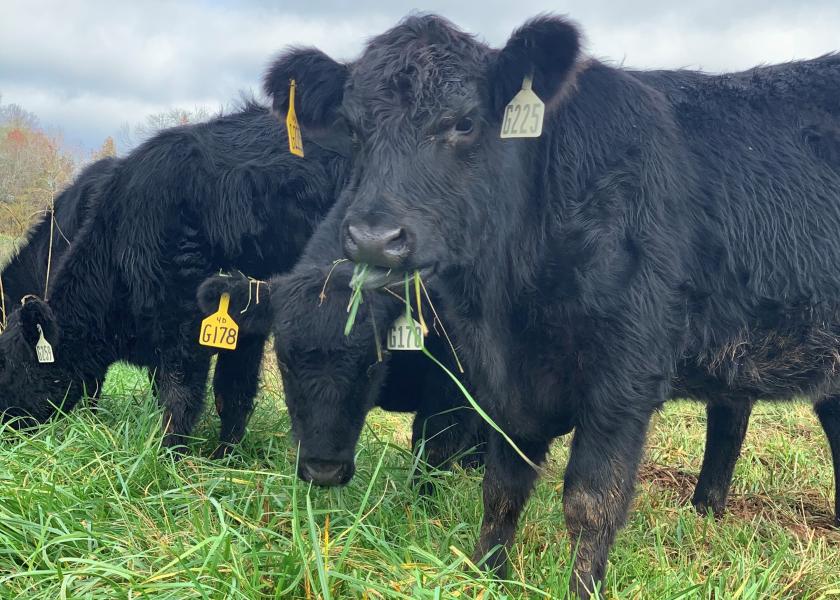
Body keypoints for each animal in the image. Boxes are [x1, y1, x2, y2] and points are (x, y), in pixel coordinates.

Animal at [0, 59, 352, 454]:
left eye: (9, 366)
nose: (4, 430)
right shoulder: (243, 322)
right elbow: (231, 393)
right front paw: (224, 457)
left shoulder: (187, 324)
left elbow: (180, 396)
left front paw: (168, 456)